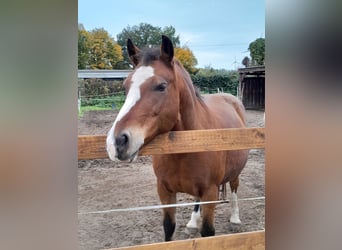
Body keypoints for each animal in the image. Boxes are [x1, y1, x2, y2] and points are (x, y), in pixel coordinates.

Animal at [107, 34, 248, 240]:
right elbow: (168, 227)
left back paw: (236, 218)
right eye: (125, 87)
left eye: (161, 86)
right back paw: (192, 222)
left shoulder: (210, 193)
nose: (117, 142)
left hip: (235, 172)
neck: (184, 148)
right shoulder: (165, 191)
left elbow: (208, 232)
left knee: (235, 188)